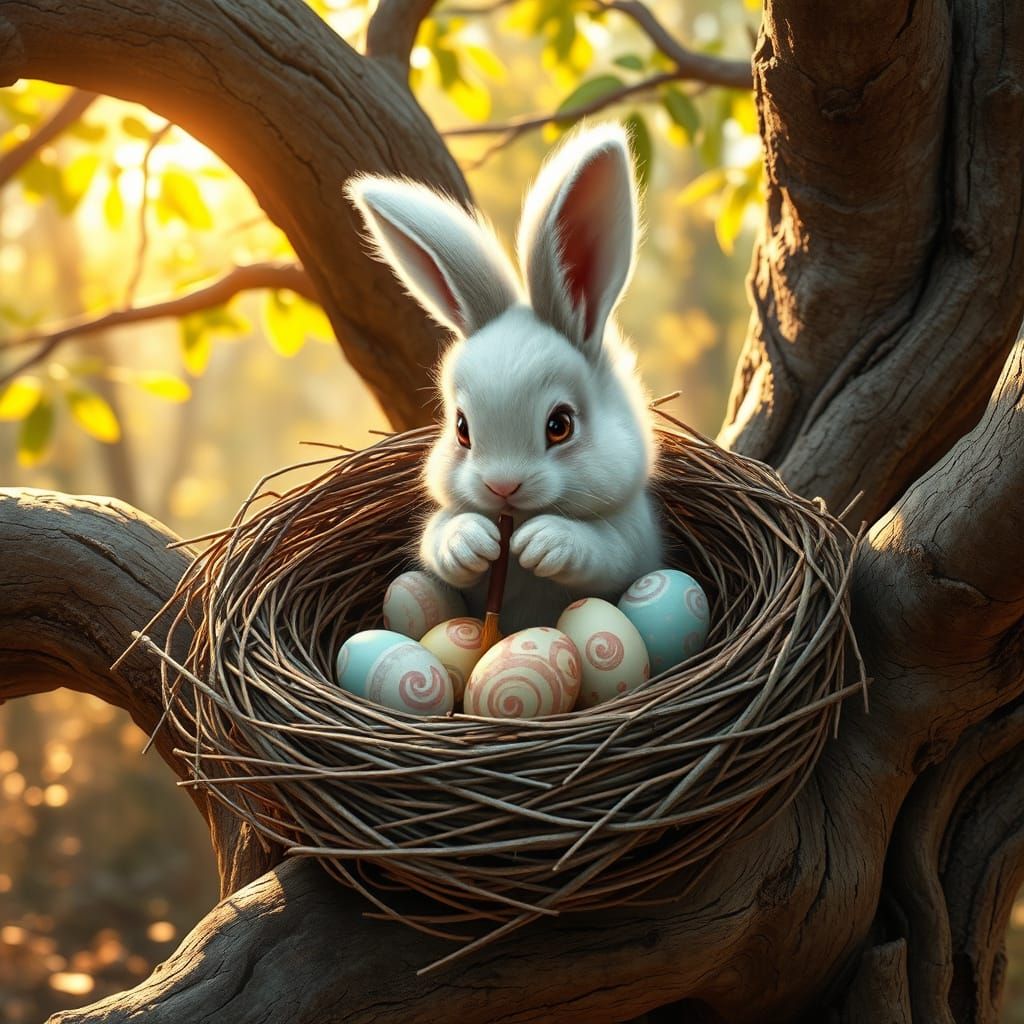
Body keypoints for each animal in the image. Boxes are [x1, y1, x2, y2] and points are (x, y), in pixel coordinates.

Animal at [346, 122, 663, 631]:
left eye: (560, 425)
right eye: (461, 429)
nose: (502, 487)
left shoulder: (634, 538)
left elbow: (604, 549)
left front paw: (545, 542)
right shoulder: (442, 525)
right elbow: (436, 536)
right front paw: (470, 542)